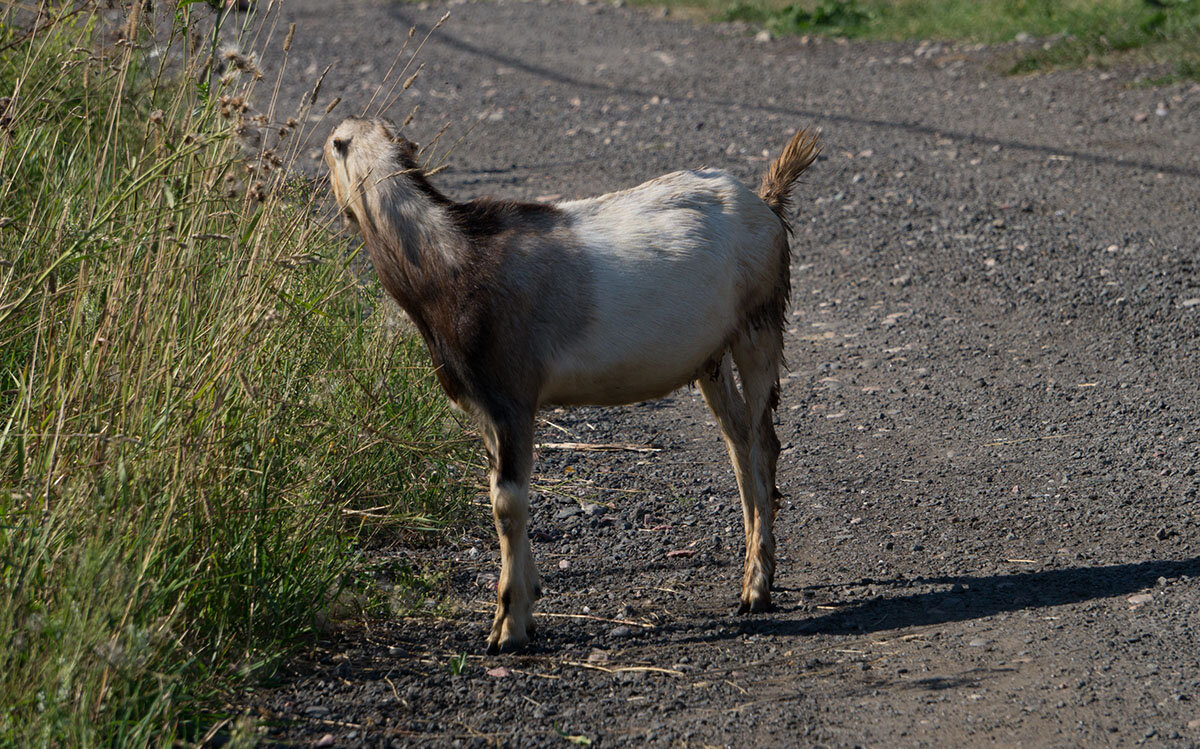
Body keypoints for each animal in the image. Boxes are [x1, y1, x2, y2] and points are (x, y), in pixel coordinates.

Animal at [324, 118, 820, 652]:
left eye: (331, 149)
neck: (449, 258)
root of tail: (765, 203)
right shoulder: (487, 410)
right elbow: (504, 497)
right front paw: (527, 601)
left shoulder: (512, 399)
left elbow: (506, 502)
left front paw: (507, 627)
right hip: (712, 355)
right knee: (738, 442)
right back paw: (752, 572)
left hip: (759, 325)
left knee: (763, 446)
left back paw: (757, 588)